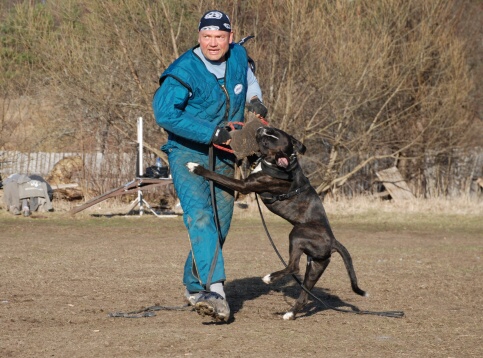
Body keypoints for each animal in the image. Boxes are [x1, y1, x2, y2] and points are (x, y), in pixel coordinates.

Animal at [186, 126, 366, 318]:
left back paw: (269, 278)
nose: (261, 128)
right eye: (272, 130)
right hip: (316, 266)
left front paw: (196, 167)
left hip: (297, 234)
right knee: (303, 292)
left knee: (294, 267)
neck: (280, 165)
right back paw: (290, 314)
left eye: (266, 141)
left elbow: (217, 176)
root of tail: (333, 240)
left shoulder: (244, 185)